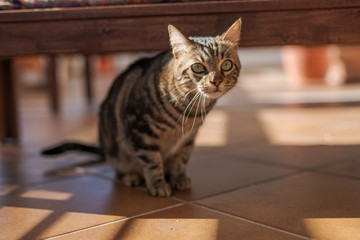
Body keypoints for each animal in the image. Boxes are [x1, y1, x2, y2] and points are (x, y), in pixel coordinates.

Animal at [43, 19, 243, 197]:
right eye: (198, 68)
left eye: (226, 65)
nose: (216, 81)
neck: (189, 111)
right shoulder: (141, 131)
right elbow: (152, 161)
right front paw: (158, 184)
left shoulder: (188, 138)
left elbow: (181, 159)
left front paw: (179, 178)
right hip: (116, 150)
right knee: (119, 168)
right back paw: (130, 176)